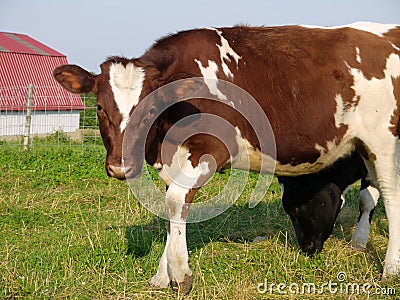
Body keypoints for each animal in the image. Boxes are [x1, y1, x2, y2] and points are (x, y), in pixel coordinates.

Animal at [54, 22, 400, 292]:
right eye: (100, 107)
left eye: (151, 108)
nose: (120, 166)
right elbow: (172, 207)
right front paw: (161, 276)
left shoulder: (212, 148)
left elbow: (176, 200)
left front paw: (181, 274)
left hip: (384, 140)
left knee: (390, 194)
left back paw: (390, 269)